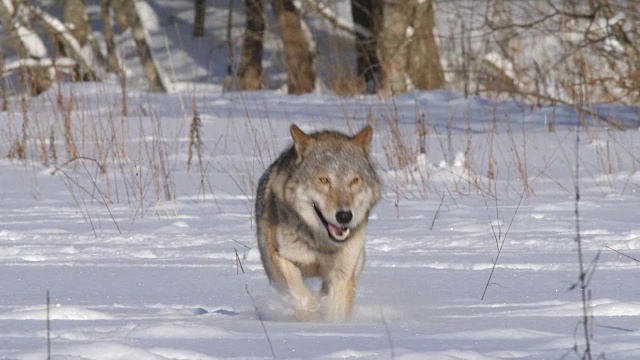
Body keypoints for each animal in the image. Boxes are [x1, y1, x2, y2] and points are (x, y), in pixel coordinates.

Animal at [255, 125, 380, 322]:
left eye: (354, 180)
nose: (344, 216)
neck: (322, 244)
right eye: (324, 180)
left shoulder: (341, 275)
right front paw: (310, 315)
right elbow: (300, 296)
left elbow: (335, 312)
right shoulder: (282, 258)